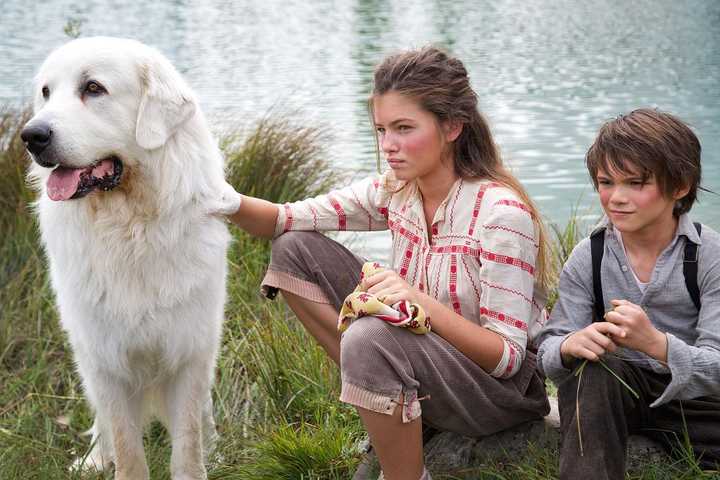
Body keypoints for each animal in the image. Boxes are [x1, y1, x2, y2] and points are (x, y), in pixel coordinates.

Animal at [23, 37, 242, 480]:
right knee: (103, 427)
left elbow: (188, 443)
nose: (30, 135)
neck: (130, 229)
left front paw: (199, 462)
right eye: (46, 93)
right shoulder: (105, 361)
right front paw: (112, 461)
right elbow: (126, 446)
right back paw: (93, 460)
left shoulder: (190, 351)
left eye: (93, 88)